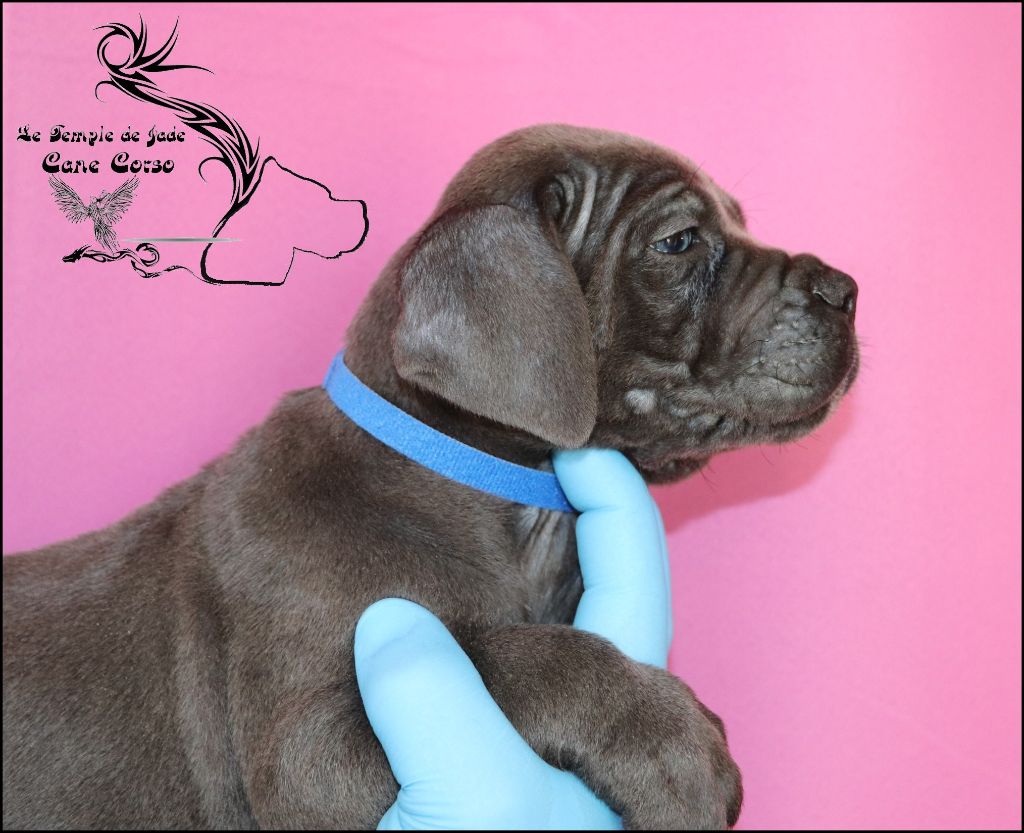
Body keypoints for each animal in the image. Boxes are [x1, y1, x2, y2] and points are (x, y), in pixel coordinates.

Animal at [3, 124, 858, 829]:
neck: (501, 499)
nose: (846, 290)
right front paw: (671, 741)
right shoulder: (311, 757)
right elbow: (510, 656)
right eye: (679, 241)